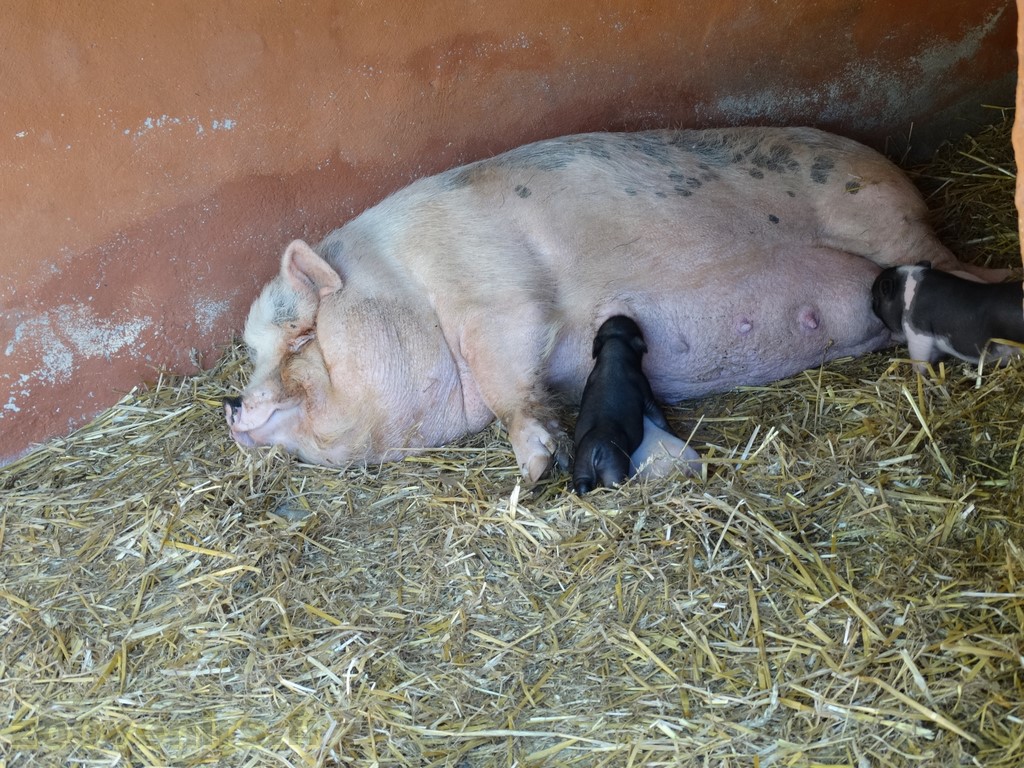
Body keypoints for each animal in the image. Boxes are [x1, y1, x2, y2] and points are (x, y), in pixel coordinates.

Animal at [573, 316, 698, 493]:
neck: (614, 348)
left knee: (582, 484)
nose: (622, 315)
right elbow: (657, 413)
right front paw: (673, 432)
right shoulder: (643, 385)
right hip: (614, 465)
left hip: (582, 463)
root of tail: (596, 449)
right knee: (613, 483)